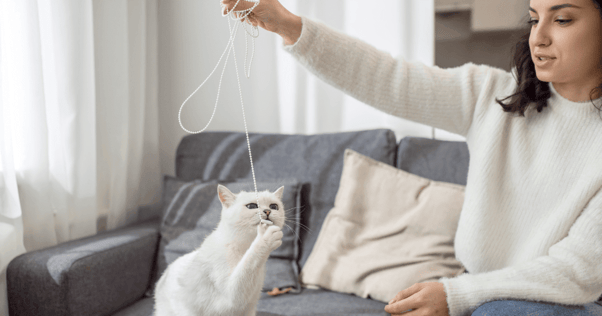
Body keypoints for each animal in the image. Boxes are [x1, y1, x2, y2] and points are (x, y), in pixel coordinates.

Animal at [155, 184, 286, 314]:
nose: (268, 211)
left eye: (274, 206)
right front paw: (266, 237)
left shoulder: (248, 308)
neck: (244, 246)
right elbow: (249, 263)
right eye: (252, 206)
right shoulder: (232, 298)